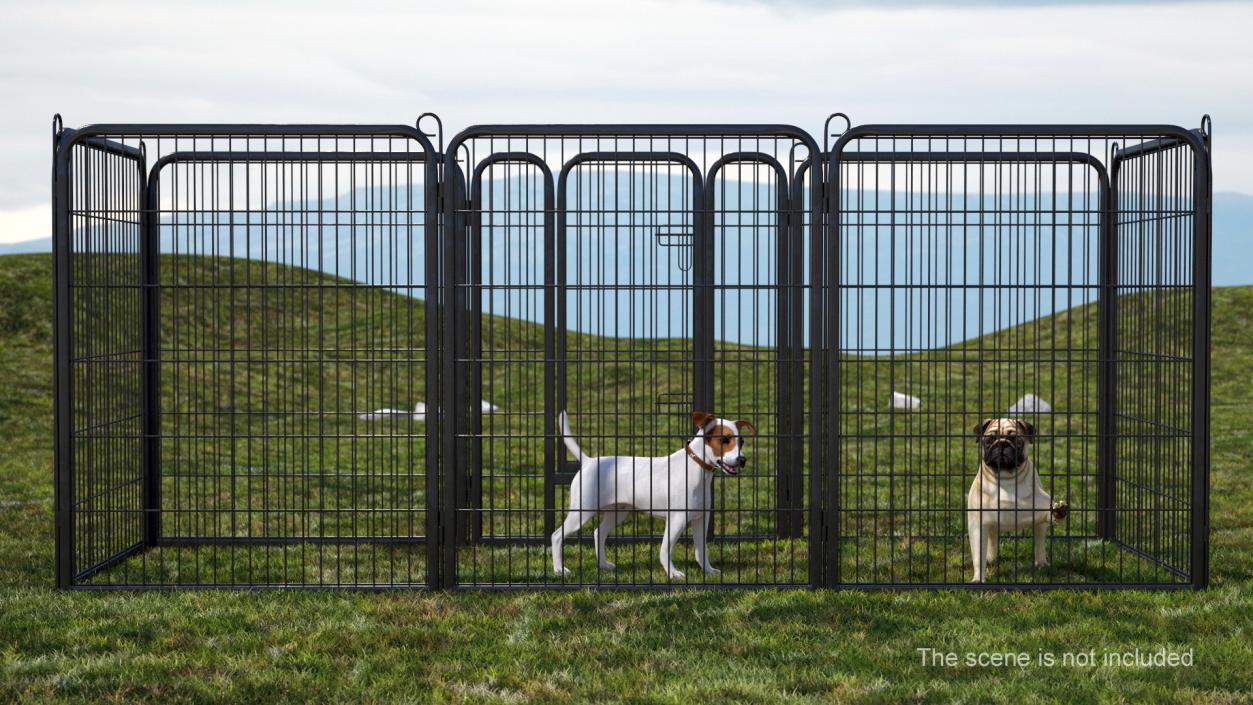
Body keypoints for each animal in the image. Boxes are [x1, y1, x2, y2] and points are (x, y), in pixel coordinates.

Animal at [553, 408, 756, 578]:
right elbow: (665, 549)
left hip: (618, 512)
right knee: (556, 536)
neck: (695, 468)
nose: (742, 460)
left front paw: (708, 570)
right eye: (724, 439)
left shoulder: (700, 519)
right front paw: (672, 573)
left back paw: (603, 565)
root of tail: (588, 461)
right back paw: (559, 569)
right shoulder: (676, 520)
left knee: (598, 533)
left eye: (741, 441)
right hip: (581, 513)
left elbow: (701, 550)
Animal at [967, 418, 1067, 586]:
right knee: (992, 539)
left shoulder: (1040, 510)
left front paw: (1059, 511)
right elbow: (978, 557)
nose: (1002, 444)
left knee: (1039, 542)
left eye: (1015, 440)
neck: (1006, 478)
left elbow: (1050, 514)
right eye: (989, 440)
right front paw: (978, 579)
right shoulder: (978, 525)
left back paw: (1041, 562)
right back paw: (991, 559)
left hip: (1039, 528)